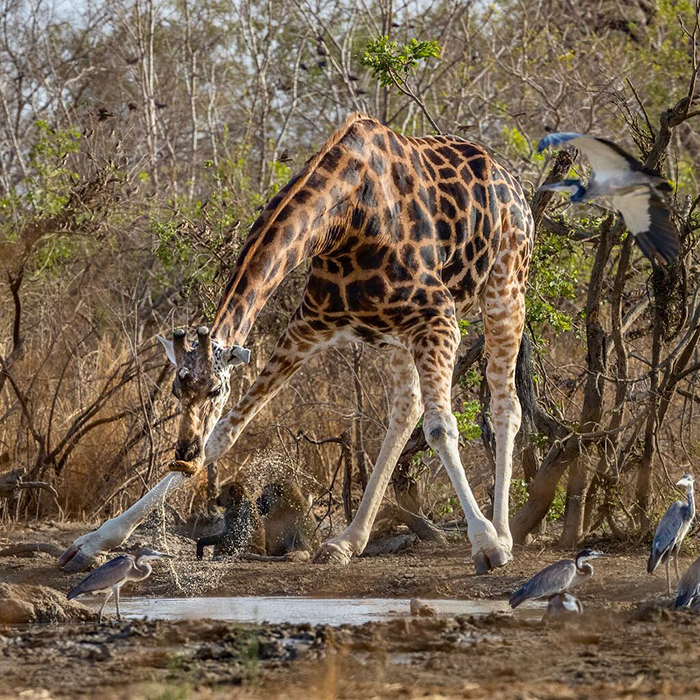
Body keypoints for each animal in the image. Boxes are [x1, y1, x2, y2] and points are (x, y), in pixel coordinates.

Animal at [58, 115, 532, 576]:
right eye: (177, 388)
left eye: (215, 389)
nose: (184, 453)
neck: (346, 219)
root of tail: (513, 182)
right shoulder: (308, 328)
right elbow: (225, 435)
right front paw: (92, 542)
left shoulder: (439, 319)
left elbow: (441, 428)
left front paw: (486, 544)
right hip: (394, 334)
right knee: (405, 408)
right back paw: (347, 542)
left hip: (505, 288)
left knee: (505, 404)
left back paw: (504, 533)